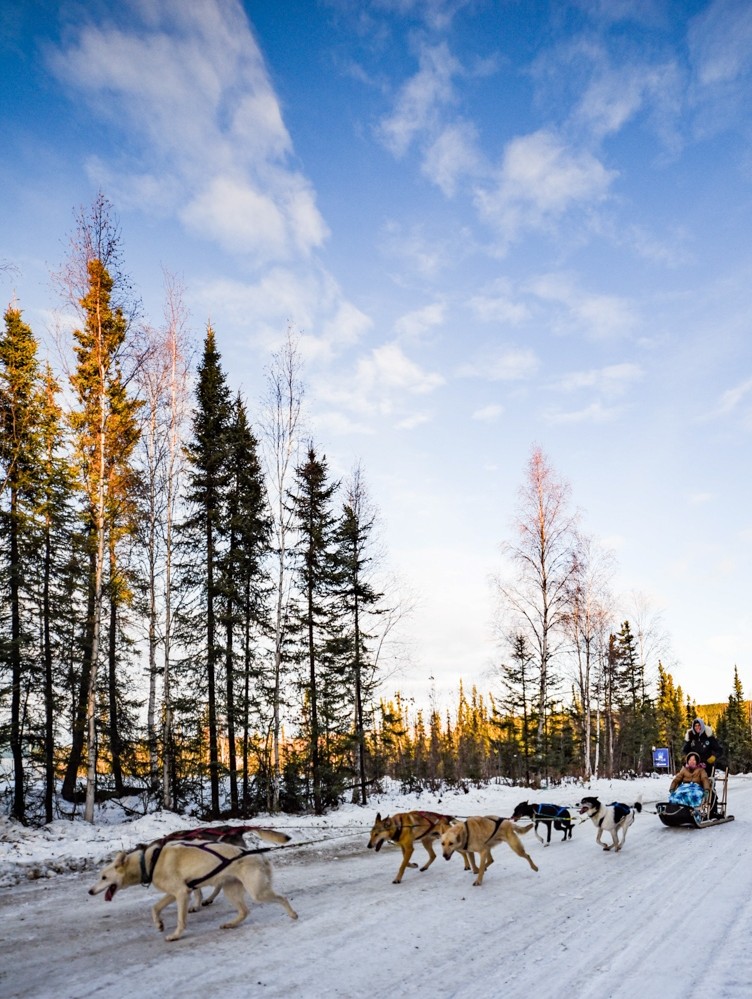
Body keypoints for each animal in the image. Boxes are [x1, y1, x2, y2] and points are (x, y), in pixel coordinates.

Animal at [89, 824, 296, 940]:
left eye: (104, 877)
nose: (90, 891)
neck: (148, 861)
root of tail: (259, 855)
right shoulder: (174, 892)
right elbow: (155, 908)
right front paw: (159, 924)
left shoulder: (181, 893)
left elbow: (181, 919)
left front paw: (175, 935)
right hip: (232, 890)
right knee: (244, 911)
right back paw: (230, 924)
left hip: (257, 892)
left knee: (282, 898)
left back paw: (293, 915)